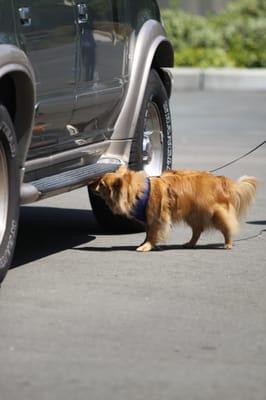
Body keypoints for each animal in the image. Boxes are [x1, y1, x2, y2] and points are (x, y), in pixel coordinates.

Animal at [93, 167, 258, 252]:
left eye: (101, 184)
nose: (93, 187)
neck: (138, 191)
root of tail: (219, 180)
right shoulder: (149, 219)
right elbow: (147, 233)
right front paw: (144, 243)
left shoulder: (156, 218)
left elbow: (152, 234)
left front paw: (147, 246)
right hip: (193, 215)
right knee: (197, 230)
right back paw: (190, 244)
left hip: (215, 214)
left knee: (226, 227)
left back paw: (228, 243)